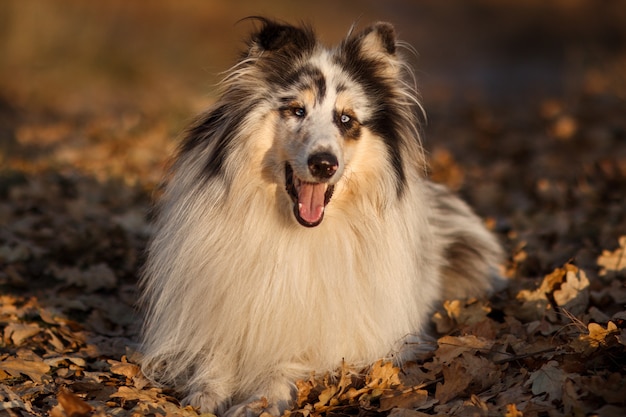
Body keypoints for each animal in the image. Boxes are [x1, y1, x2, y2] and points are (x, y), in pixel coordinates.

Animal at [139, 17, 504, 414]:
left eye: (346, 119)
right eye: (297, 110)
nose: (324, 164)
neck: (294, 231)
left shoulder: (336, 334)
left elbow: (290, 362)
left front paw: (260, 400)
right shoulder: (220, 305)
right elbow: (215, 351)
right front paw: (206, 391)